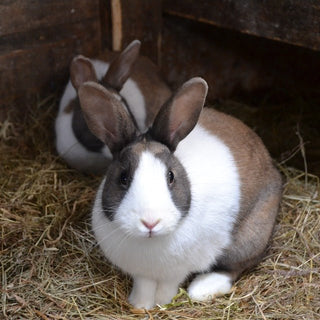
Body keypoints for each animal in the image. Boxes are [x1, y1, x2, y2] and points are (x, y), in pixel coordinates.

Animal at [77, 76, 282, 308]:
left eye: (170, 176)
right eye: (123, 178)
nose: (150, 222)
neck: (150, 242)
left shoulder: (177, 272)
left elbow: (168, 286)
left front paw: (162, 303)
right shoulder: (142, 274)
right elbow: (144, 286)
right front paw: (140, 305)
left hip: (251, 236)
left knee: (235, 266)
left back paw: (201, 289)